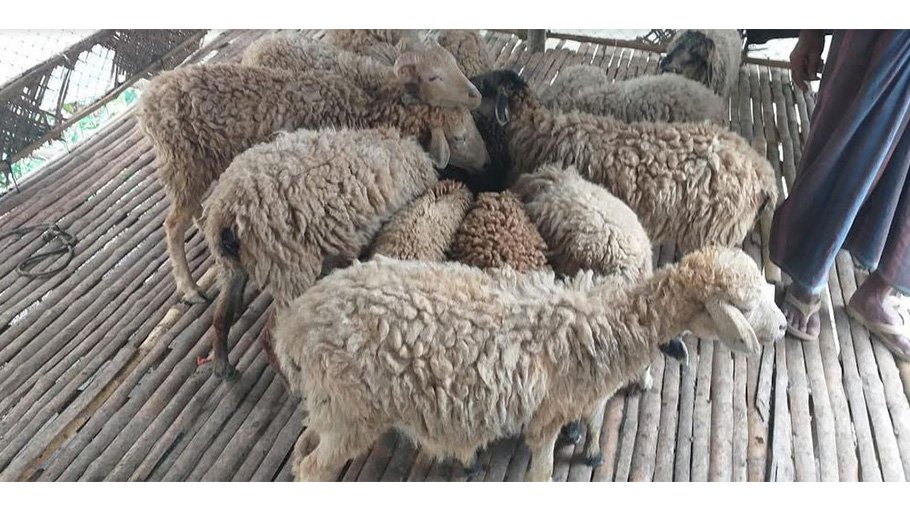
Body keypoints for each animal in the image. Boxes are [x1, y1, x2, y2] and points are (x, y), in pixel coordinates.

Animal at [138, 63, 488, 304]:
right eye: (459, 137)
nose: (486, 162)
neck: (362, 113)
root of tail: (149, 95)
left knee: (194, 211)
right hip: (183, 165)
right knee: (173, 224)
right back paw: (189, 288)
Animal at [203, 127, 444, 378]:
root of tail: (226, 215)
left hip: (231, 268)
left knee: (221, 315)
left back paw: (222, 366)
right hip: (287, 270)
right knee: (269, 336)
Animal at [273, 245, 787, 481]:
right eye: (744, 305)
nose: (782, 326)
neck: (605, 320)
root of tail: (293, 325)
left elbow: (593, 419)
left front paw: (592, 448)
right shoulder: (547, 416)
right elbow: (541, 468)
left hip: (330, 407)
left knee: (304, 449)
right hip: (352, 412)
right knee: (314, 468)